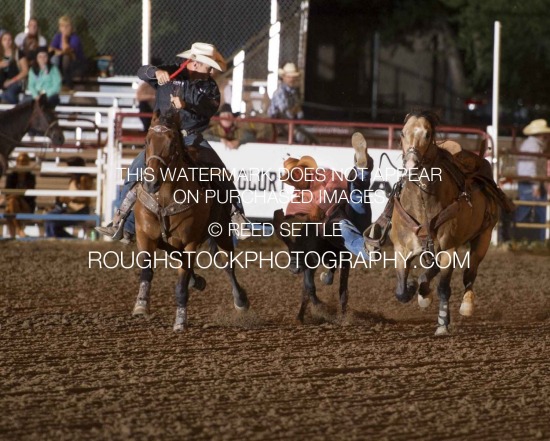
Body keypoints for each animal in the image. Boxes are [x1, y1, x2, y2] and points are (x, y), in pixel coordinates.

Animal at [134, 109, 250, 330]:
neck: (165, 198)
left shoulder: (190, 242)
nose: (151, 183)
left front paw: (180, 321)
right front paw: (141, 305)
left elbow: (181, 284)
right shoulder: (145, 235)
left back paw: (241, 301)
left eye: (172, 144)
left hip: (222, 233)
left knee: (227, 265)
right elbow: (146, 272)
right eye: (146, 141)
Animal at [390, 111, 502, 336]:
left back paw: (467, 304)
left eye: (427, 134)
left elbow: (443, 287)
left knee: (470, 273)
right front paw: (417, 290)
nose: (412, 165)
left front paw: (442, 323)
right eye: (403, 133)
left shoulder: (449, 249)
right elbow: (402, 291)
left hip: (483, 237)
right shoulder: (401, 249)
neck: (423, 203)